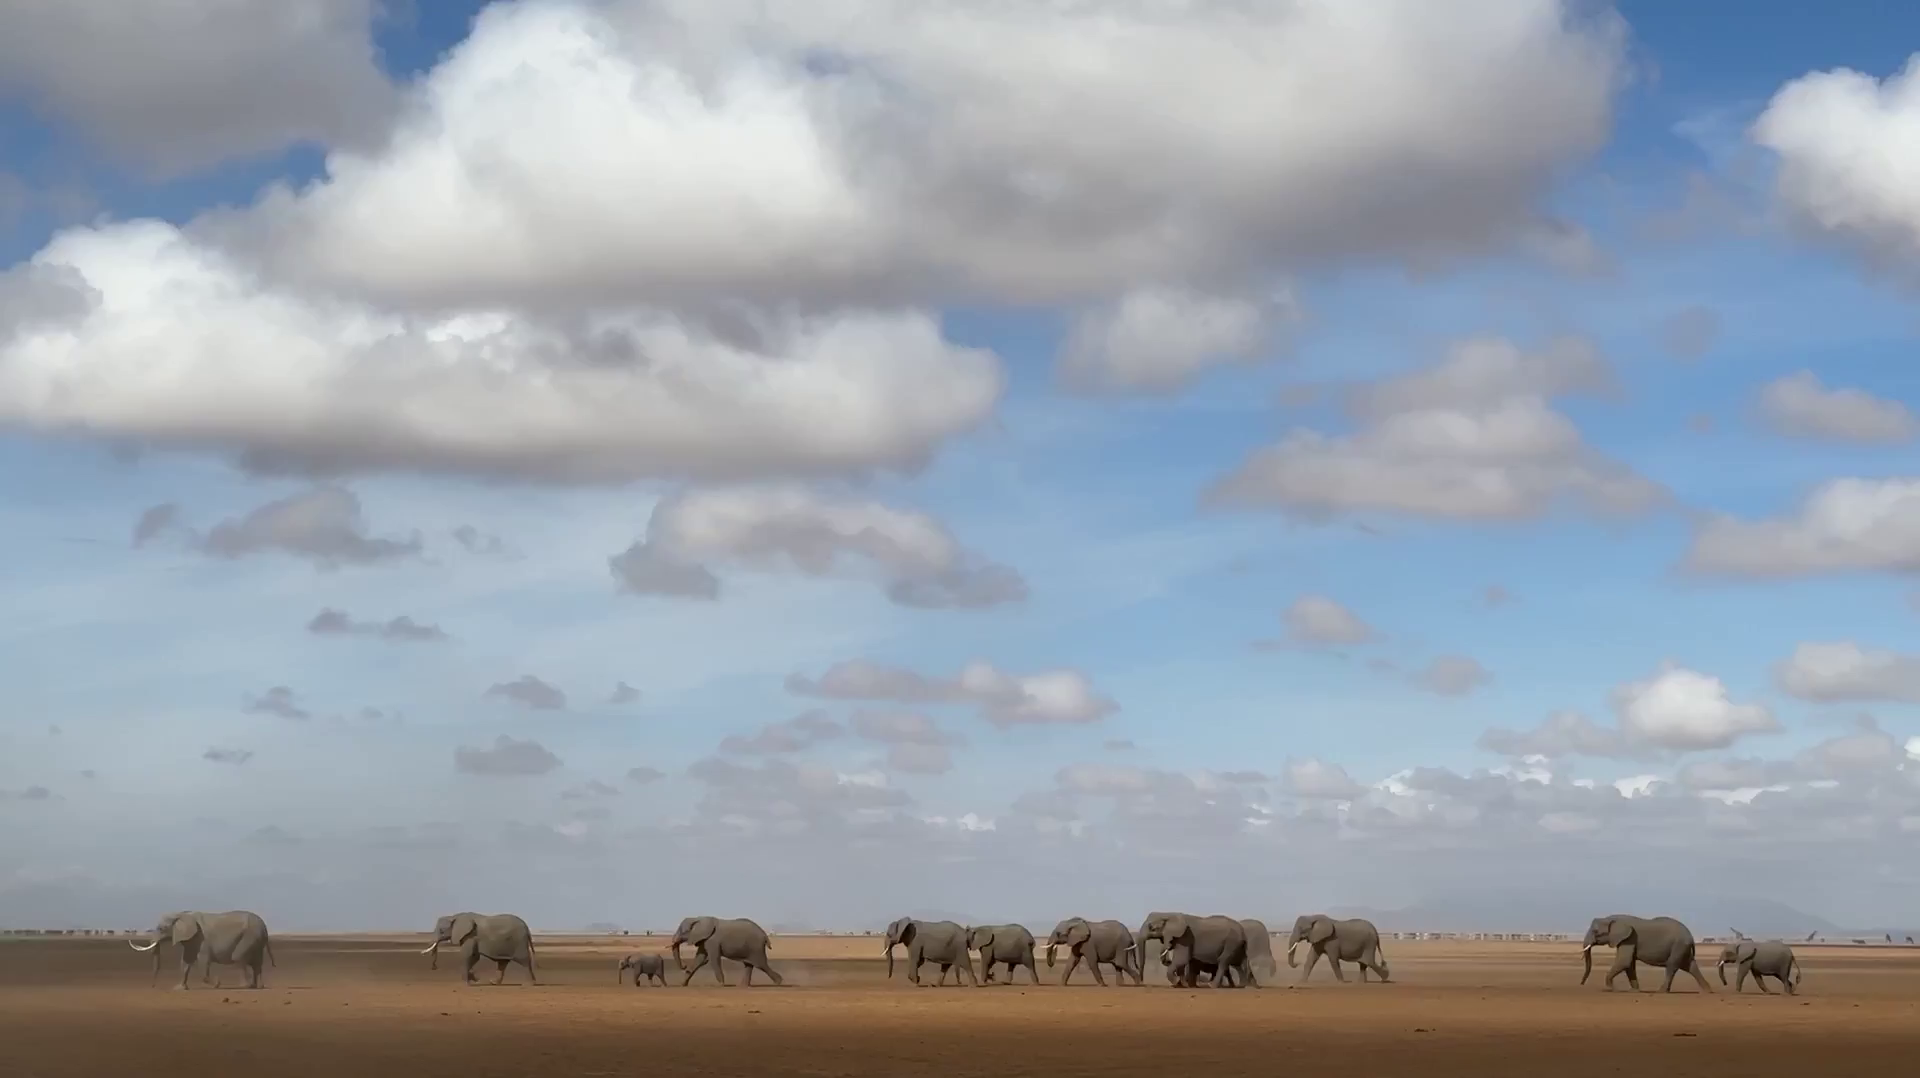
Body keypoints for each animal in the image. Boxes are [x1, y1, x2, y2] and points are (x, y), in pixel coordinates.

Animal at [129, 903, 274, 991]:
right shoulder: (191, 939)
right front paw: (179, 988)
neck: (182, 914)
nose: (153, 986)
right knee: (256, 963)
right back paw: (257, 986)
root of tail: (265, 927)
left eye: (161, 929)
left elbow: (203, 961)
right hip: (257, 940)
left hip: (249, 936)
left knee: (239, 958)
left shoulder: (201, 938)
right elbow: (186, 962)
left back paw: (246, 986)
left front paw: (217, 984)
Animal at [1574, 906, 1712, 991]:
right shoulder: (1627, 940)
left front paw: (1609, 989)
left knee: (1672, 966)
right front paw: (1634, 990)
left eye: (1595, 932)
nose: (1581, 983)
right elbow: (1629, 964)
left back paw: (1661, 991)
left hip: (1679, 946)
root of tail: (1691, 937)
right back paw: (1708, 991)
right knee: (1690, 966)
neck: (1612, 919)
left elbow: (1624, 961)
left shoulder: (1629, 938)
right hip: (1683, 948)